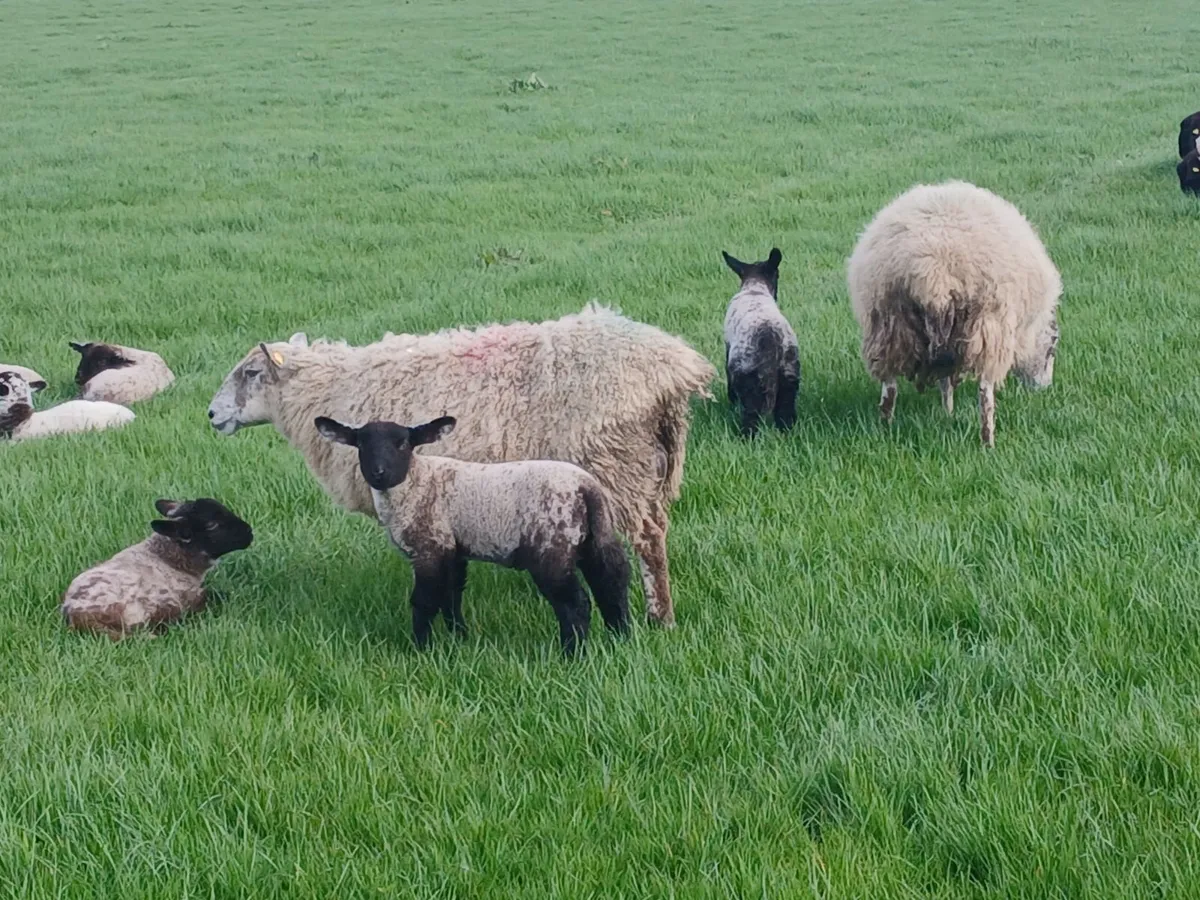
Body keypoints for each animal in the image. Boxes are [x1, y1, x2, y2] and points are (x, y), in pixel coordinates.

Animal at [206, 304, 716, 628]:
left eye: (251, 373)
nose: (211, 415)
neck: (326, 390)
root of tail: (672, 368)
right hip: (646, 466)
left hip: (614, 462)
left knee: (645, 543)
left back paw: (659, 618)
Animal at [315, 415, 632, 656]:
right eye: (361, 445)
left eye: (403, 444)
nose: (378, 473)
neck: (415, 482)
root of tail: (586, 488)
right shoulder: (453, 549)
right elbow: (451, 597)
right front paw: (460, 638)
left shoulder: (429, 545)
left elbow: (424, 600)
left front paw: (420, 649)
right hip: (594, 537)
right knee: (611, 582)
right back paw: (620, 638)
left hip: (552, 542)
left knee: (575, 602)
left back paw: (572, 653)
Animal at [721, 247, 800, 437]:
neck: (755, 288)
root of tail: (771, 338)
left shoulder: (728, 350)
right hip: (789, 377)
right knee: (785, 413)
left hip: (750, 379)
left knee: (751, 418)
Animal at [847, 180, 1061, 448]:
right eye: (1052, 348)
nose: (1045, 388)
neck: (1030, 331)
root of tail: (934, 270)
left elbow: (944, 380)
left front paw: (947, 412)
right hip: (989, 325)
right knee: (985, 393)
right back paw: (988, 442)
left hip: (888, 325)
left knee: (889, 387)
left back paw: (885, 429)